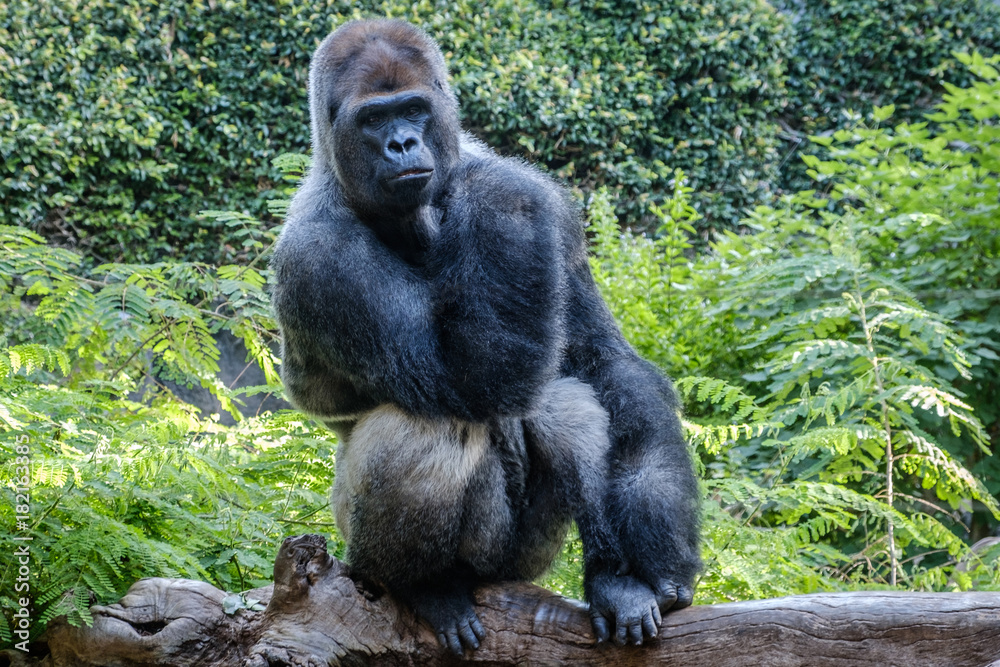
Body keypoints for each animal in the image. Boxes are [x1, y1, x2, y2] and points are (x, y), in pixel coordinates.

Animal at [270, 19, 701, 655]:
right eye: (374, 119)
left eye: (414, 110)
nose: (403, 144)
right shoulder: (318, 258)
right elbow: (464, 379)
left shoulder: (550, 208)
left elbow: (605, 365)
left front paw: (659, 551)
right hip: (359, 542)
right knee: (437, 424)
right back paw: (424, 587)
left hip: (519, 560)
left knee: (567, 407)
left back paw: (612, 579)